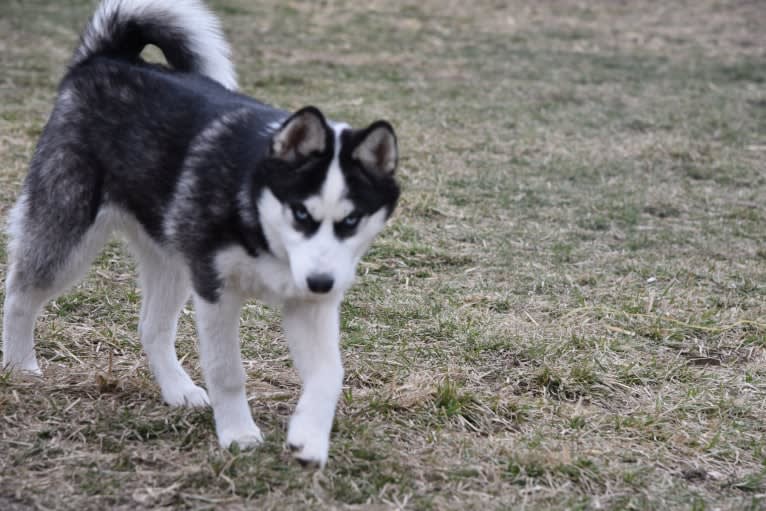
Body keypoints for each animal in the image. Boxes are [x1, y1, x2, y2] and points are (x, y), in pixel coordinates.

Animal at [1, 0, 402, 468]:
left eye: (351, 221)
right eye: (301, 213)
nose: (322, 282)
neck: (256, 213)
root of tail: (109, 58)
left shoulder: (308, 303)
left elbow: (330, 374)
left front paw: (310, 440)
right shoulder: (215, 291)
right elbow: (227, 372)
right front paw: (238, 434)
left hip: (174, 259)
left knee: (151, 327)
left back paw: (177, 389)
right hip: (69, 232)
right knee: (21, 291)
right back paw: (20, 366)